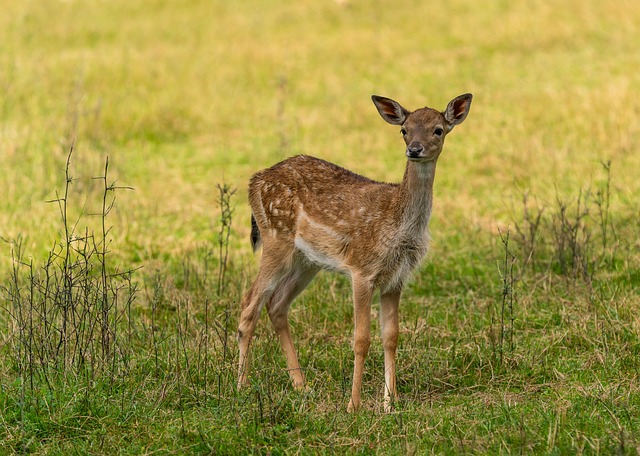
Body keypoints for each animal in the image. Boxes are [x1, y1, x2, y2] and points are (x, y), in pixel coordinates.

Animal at [238, 92, 472, 414]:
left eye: (438, 129)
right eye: (404, 130)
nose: (414, 149)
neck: (398, 224)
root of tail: (255, 181)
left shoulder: (396, 278)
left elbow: (391, 336)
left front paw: (390, 403)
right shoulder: (362, 269)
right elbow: (361, 339)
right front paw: (353, 405)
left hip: (307, 260)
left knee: (277, 304)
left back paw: (301, 386)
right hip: (275, 238)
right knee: (250, 303)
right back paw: (241, 386)